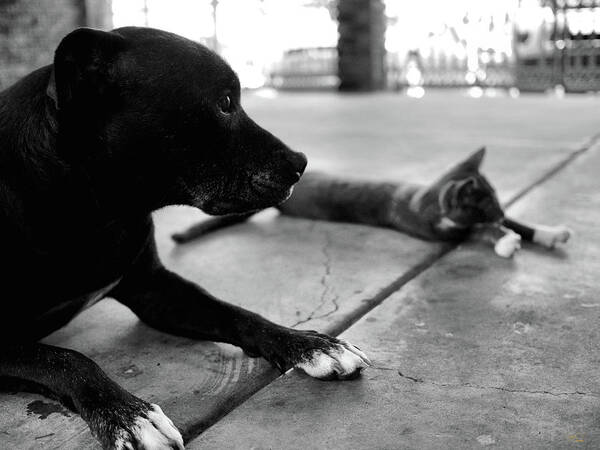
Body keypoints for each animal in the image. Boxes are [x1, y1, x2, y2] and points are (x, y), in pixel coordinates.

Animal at [0, 28, 370, 450]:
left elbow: (236, 313)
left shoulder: (153, 289)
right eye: (225, 103)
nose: (301, 163)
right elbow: (68, 359)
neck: (91, 209)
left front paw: (311, 344)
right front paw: (127, 415)